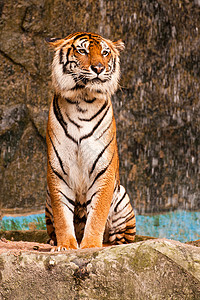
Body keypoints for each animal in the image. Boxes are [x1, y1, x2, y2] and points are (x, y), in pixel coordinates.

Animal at [45, 31, 136, 251]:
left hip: (122, 199)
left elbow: (97, 214)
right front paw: (66, 246)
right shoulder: (57, 172)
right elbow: (62, 215)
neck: (82, 100)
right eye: (82, 50)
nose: (98, 68)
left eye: (105, 53)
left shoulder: (104, 170)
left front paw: (91, 246)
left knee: (121, 238)